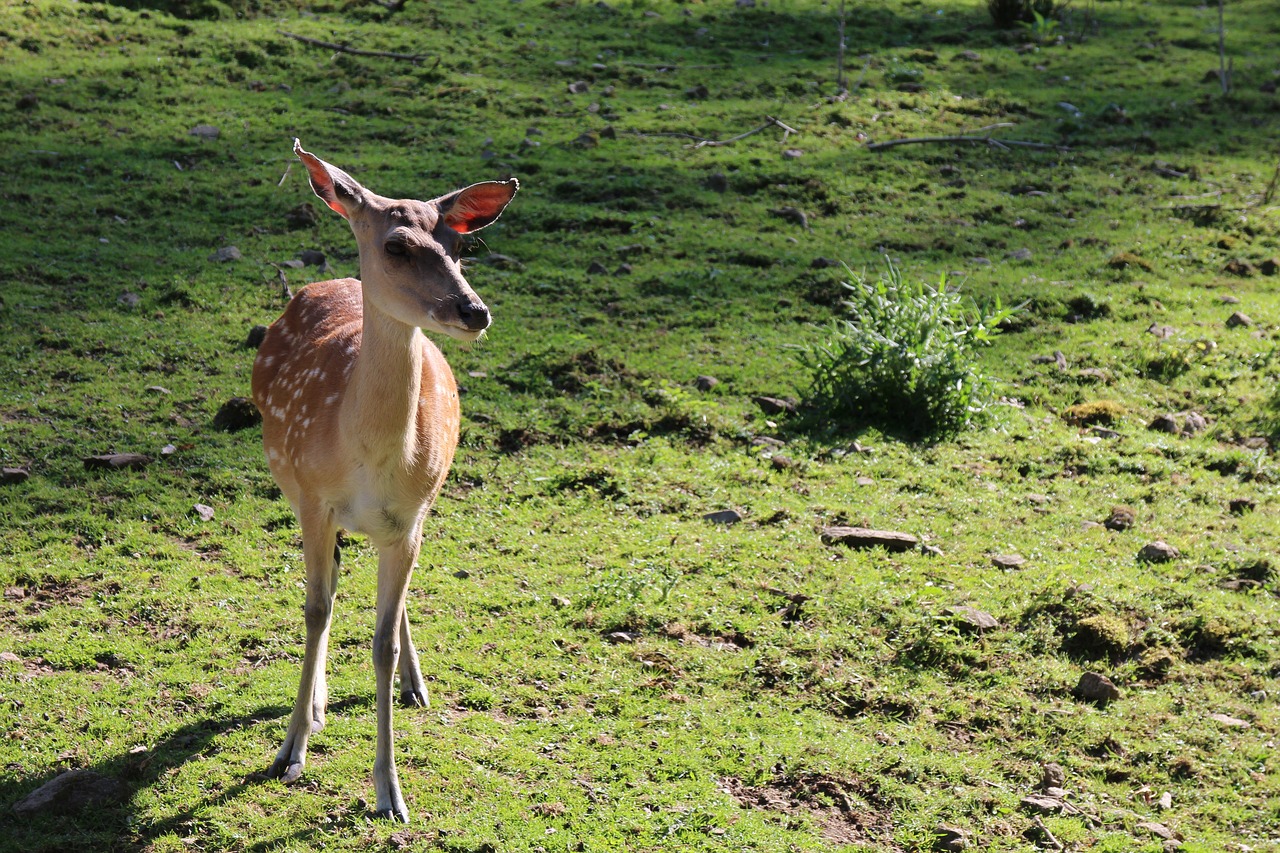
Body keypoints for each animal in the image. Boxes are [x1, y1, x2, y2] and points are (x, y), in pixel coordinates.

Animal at [252, 139, 517, 819]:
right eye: (397, 246)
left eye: (461, 246)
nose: (475, 311)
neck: (365, 454)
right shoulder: (313, 500)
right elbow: (315, 610)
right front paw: (290, 749)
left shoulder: (408, 520)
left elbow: (380, 643)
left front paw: (390, 792)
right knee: (327, 592)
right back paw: (319, 706)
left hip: (417, 512)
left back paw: (415, 685)